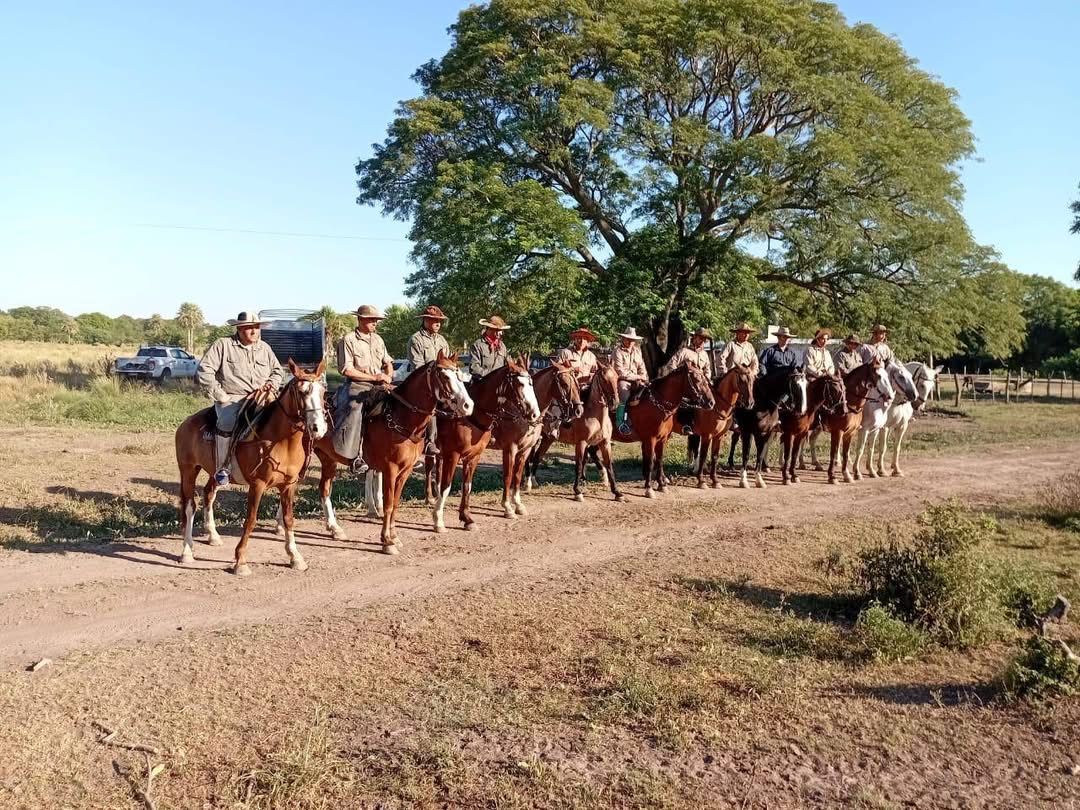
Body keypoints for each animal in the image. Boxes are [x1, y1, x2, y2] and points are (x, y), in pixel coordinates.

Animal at [173, 358, 328, 574]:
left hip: (215, 473)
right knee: (189, 506)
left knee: (208, 494)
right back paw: (186, 552)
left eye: (323, 392)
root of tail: (186, 423)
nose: (318, 428)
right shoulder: (258, 485)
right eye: (302, 391)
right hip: (188, 470)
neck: (281, 440)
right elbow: (251, 519)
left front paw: (295, 557)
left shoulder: (289, 485)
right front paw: (240, 561)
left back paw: (213, 536)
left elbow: (288, 519)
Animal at [308, 352, 468, 557]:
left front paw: (394, 537)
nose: (468, 405)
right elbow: (389, 504)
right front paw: (386, 542)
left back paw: (334, 529)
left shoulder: (405, 471)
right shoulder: (390, 470)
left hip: (327, 459)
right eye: (445, 376)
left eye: (459, 375)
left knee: (323, 490)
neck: (400, 417)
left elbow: (396, 504)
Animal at [425, 360, 535, 535]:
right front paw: (438, 520)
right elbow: (446, 486)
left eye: (531, 383)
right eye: (520, 384)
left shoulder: (473, 457)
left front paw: (467, 518)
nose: (534, 413)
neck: (471, 417)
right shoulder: (453, 455)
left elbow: (467, 485)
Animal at [527, 360, 622, 501]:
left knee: (538, 456)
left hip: (548, 438)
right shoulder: (581, 443)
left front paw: (617, 492)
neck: (595, 416)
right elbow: (579, 465)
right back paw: (527, 482)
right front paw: (577, 491)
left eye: (616, 377)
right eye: (604, 379)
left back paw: (533, 481)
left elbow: (609, 465)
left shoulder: (604, 443)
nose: (615, 402)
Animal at [617, 365, 717, 498]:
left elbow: (659, 461)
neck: (657, 404)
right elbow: (651, 462)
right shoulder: (650, 439)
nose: (711, 402)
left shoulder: (662, 439)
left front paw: (661, 485)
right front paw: (649, 488)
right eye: (696, 379)